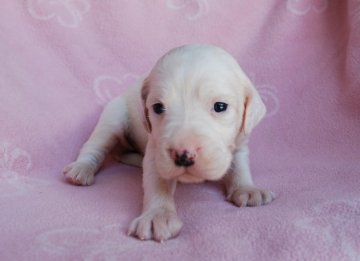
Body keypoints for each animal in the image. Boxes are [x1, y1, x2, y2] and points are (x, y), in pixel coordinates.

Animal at [62, 43, 276, 241]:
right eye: (158, 107)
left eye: (220, 106)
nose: (183, 155)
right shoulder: (156, 149)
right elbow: (157, 180)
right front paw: (157, 215)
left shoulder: (240, 141)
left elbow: (239, 165)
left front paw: (247, 189)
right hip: (113, 117)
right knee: (95, 146)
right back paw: (81, 168)